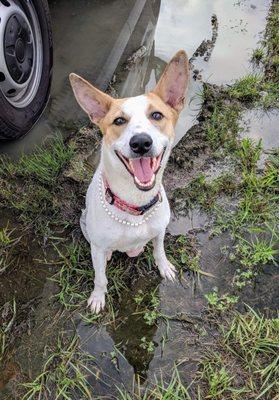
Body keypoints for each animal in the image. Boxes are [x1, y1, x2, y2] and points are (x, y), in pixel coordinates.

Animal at [69, 49, 190, 312]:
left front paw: (164, 267)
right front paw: (98, 297)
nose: (141, 142)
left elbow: (159, 250)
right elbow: (100, 277)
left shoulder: (159, 231)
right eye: (118, 121)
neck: (136, 203)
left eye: (157, 115)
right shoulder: (98, 246)